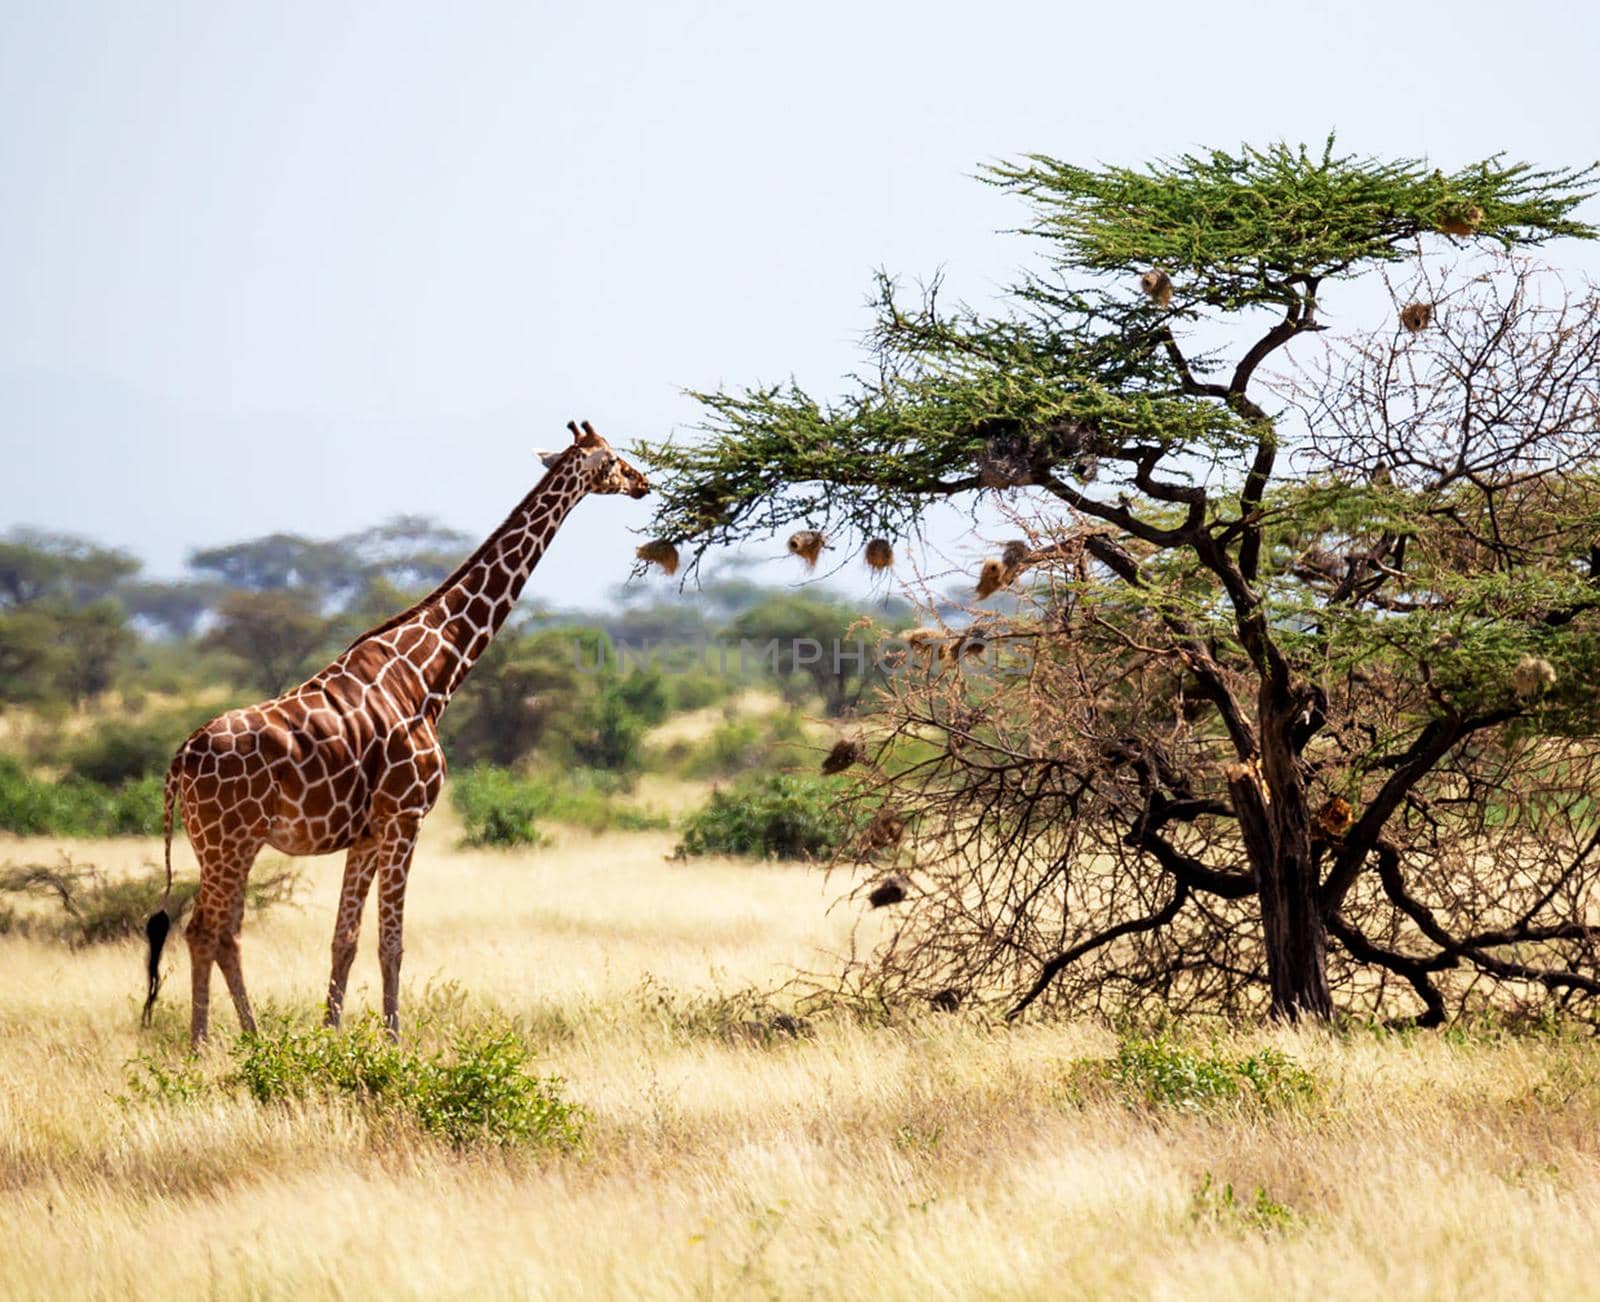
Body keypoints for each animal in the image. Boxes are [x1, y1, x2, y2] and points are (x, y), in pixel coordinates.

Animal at [144, 422, 649, 1042]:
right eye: (615, 458)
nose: (645, 483)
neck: (430, 673)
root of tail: (178, 762)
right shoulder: (406, 818)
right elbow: (393, 944)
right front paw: (392, 1040)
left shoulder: (365, 833)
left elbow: (343, 940)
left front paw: (331, 1036)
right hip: (227, 841)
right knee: (204, 931)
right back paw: (205, 1044)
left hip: (223, 843)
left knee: (226, 933)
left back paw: (253, 1037)